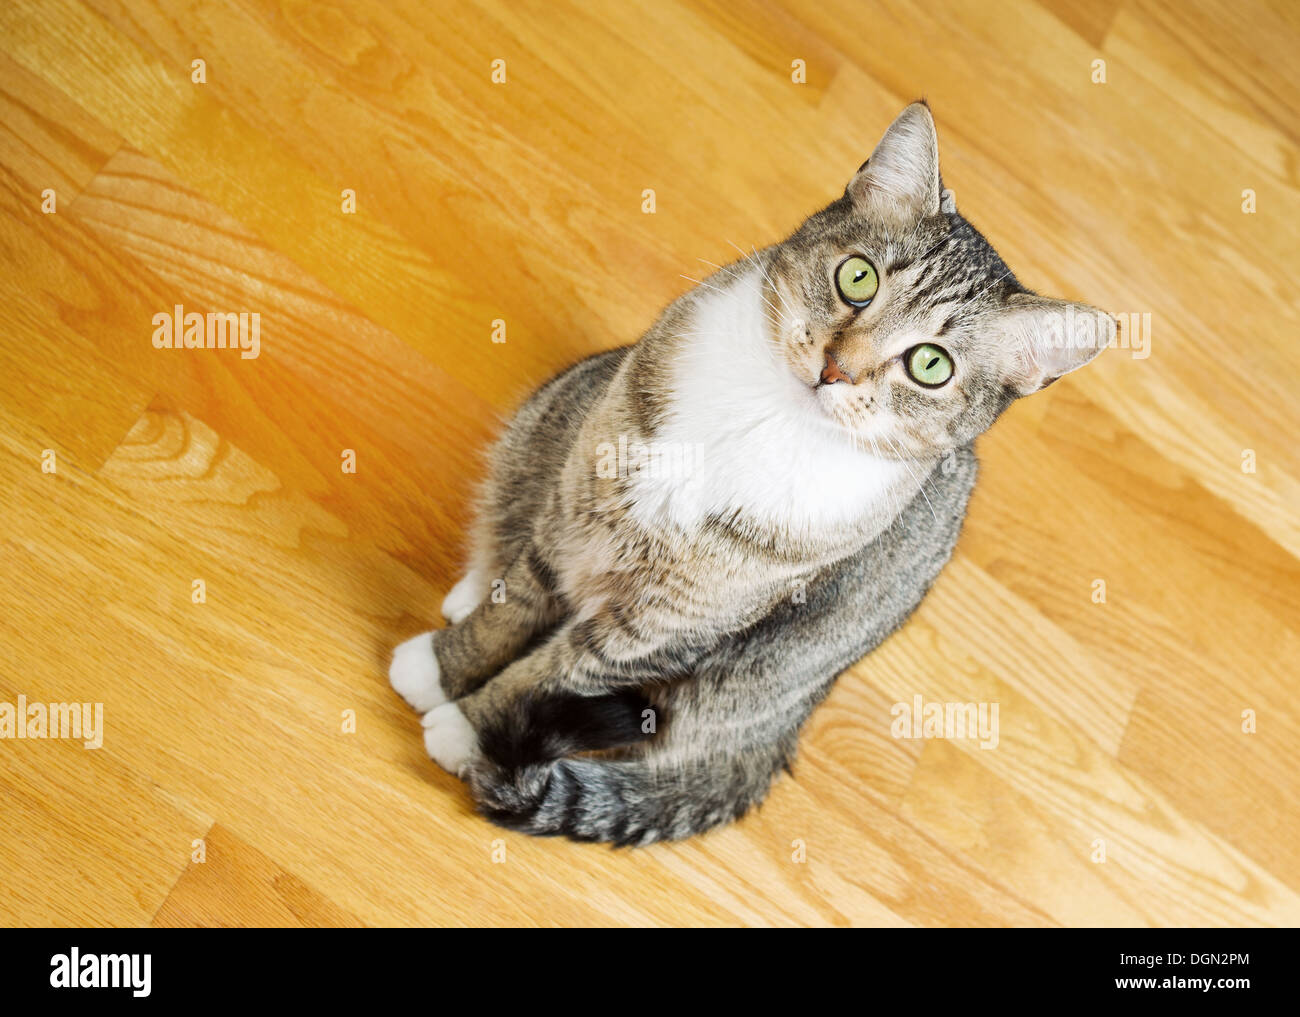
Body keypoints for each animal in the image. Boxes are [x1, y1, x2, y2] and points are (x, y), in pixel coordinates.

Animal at [387, 103, 1118, 847]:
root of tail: (780, 730)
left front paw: (465, 724)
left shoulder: (655, 631)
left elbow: (546, 676)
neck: (761, 421)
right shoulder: (574, 515)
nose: (838, 369)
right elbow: (513, 607)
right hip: (552, 416)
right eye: (858, 278)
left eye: (931, 365)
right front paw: (443, 666)